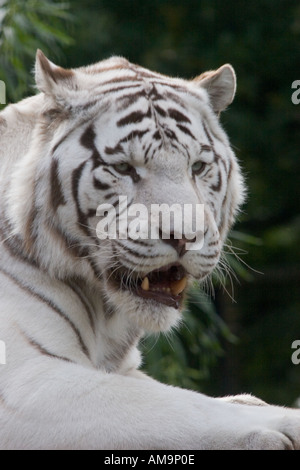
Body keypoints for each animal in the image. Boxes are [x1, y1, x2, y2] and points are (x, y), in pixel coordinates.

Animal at [0, 49, 298, 450]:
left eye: (198, 167)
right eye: (124, 168)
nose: (183, 236)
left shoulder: (123, 369)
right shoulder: (28, 380)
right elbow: (185, 406)